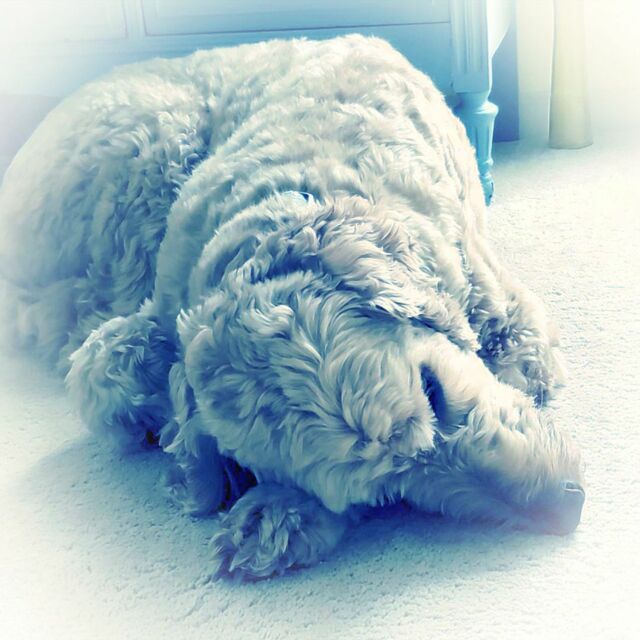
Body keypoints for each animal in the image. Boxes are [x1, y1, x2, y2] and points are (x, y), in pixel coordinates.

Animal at [0, 35, 583, 579]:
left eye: (433, 390)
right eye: (386, 494)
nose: (568, 504)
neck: (299, 192)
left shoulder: (512, 323)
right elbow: (112, 377)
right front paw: (276, 509)